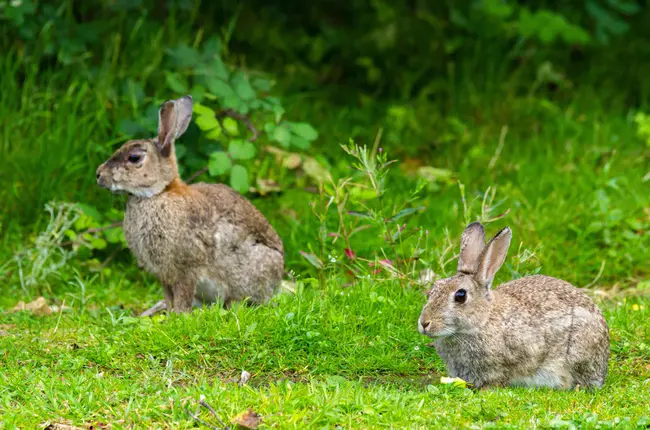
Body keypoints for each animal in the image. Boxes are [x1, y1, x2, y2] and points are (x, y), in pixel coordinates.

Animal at [95, 95, 282, 314]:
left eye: (134, 158)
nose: (99, 174)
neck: (159, 193)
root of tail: (279, 274)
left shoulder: (186, 270)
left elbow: (183, 295)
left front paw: (179, 315)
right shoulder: (164, 276)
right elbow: (169, 296)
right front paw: (170, 315)